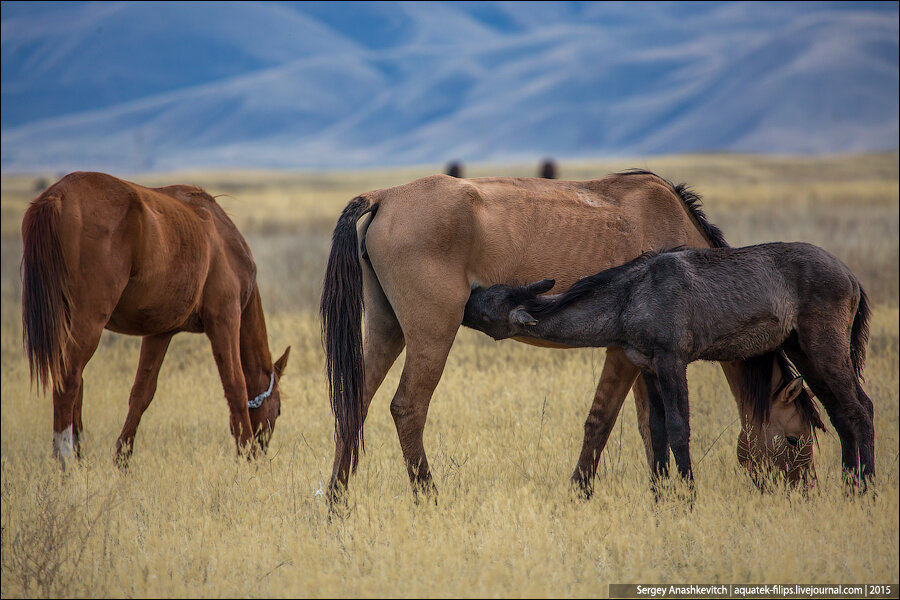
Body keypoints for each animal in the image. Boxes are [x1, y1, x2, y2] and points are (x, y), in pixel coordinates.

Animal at [22, 171, 288, 466]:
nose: (263, 448)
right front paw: (247, 456)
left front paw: (122, 458)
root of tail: (56, 196)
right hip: (89, 321)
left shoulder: (159, 332)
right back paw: (66, 458)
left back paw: (80, 455)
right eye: (277, 410)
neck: (221, 239)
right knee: (68, 378)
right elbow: (236, 386)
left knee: (77, 380)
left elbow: (142, 393)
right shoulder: (225, 319)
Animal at [322, 170, 824, 502]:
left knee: (355, 405)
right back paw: (429, 497)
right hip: (431, 337)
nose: (807, 493)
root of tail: (386, 195)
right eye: (795, 439)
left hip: (387, 330)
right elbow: (602, 421)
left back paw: (336, 502)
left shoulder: (647, 360)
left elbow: (650, 426)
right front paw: (582, 491)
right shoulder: (624, 354)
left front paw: (659, 493)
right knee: (407, 408)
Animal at [464, 241, 872, 490]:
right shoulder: (647, 366)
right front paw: (663, 500)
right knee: (839, 412)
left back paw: (865, 489)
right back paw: (849, 485)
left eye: (488, 306)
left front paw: (689, 496)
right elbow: (657, 431)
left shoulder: (673, 361)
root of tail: (852, 277)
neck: (629, 297)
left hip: (825, 348)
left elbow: (678, 428)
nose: (466, 299)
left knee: (860, 409)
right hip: (803, 350)